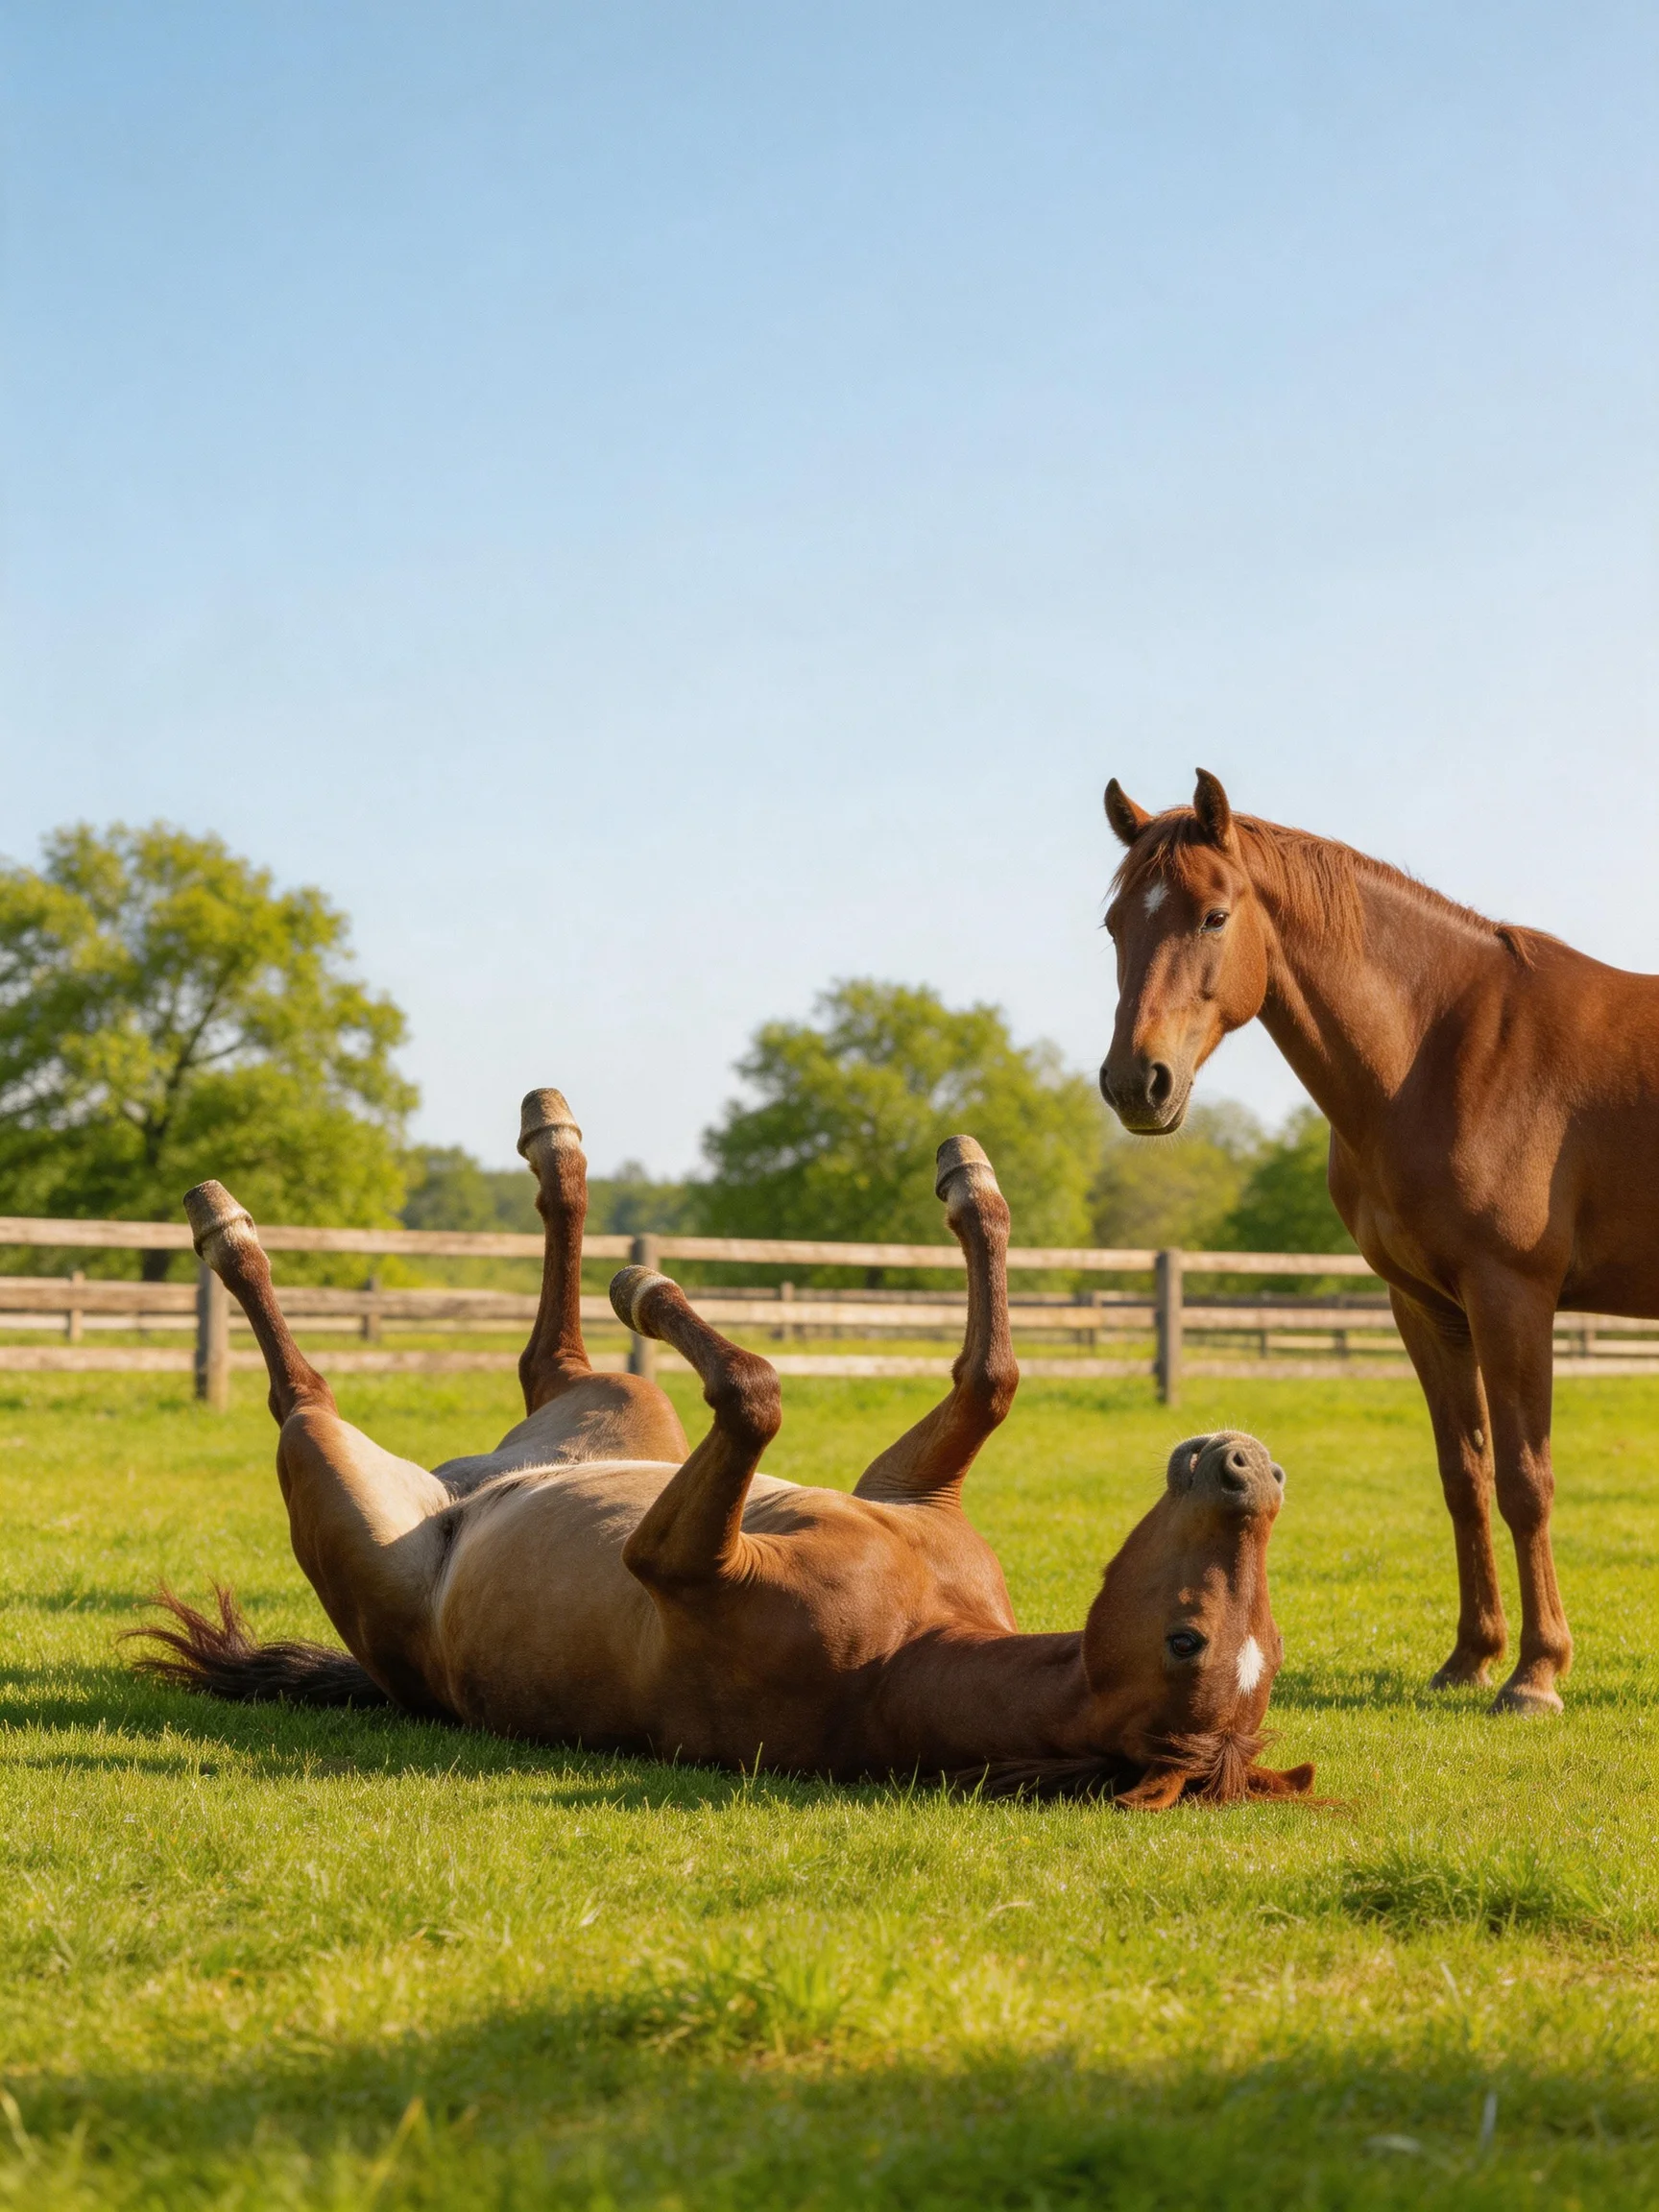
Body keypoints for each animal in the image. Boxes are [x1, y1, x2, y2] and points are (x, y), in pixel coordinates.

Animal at [129, 1087, 1312, 1807]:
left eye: (1191, 1642)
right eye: (1250, 1635)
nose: (1250, 1467)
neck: (905, 1649)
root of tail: (464, 1483)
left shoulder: (674, 1562)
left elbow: (754, 1393)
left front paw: (654, 1289)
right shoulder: (908, 1487)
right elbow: (990, 1380)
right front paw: (969, 1182)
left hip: (338, 1483)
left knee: (309, 1385)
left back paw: (228, 1223)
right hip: (612, 1406)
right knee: (551, 1355)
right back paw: (554, 1138)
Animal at [1097, 766, 1659, 1715]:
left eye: (1213, 915)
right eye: (1113, 925)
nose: (1139, 1083)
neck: (1442, 1048)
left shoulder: (1512, 1298)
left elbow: (1527, 1481)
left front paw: (1536, 1673)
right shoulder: (1427, 1308)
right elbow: (1465, 1479)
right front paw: (1472, 1658)